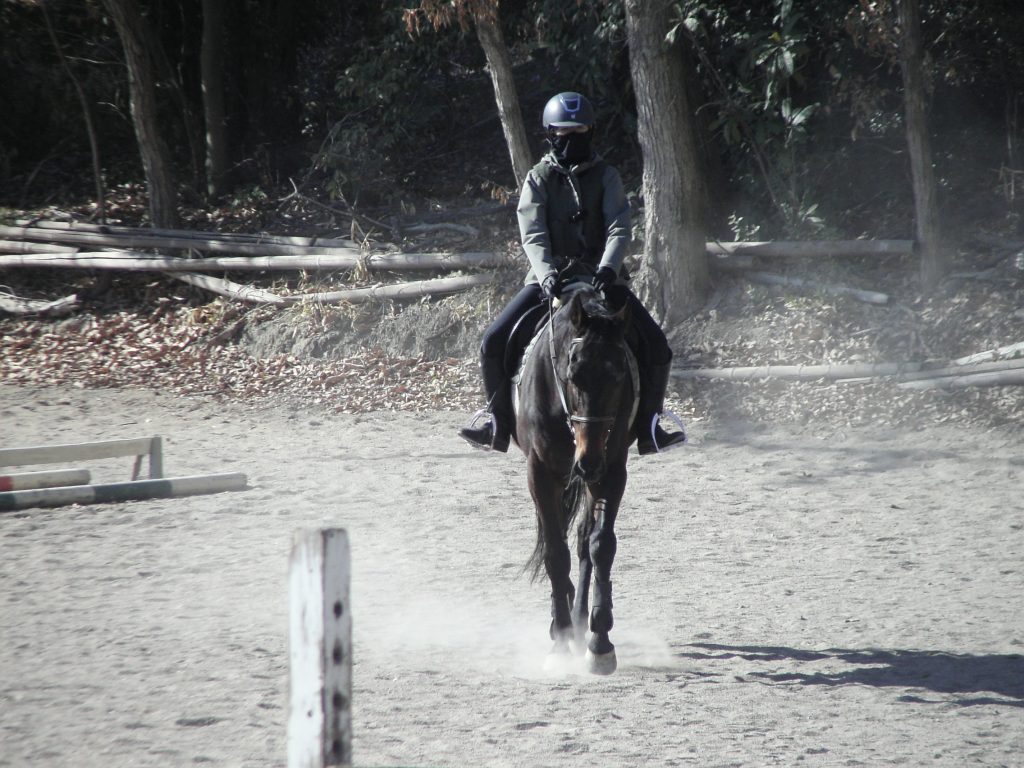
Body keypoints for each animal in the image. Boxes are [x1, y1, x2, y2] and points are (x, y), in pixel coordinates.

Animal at [511, 282, 638, 675]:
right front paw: (560, 642)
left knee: (583, 542)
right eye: (573, 373)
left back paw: (582, 622)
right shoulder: (539, 472)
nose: (588, 460)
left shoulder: (612, 471)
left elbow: (600, 546)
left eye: (618, 375)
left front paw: (600, 642)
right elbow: (555, 553)